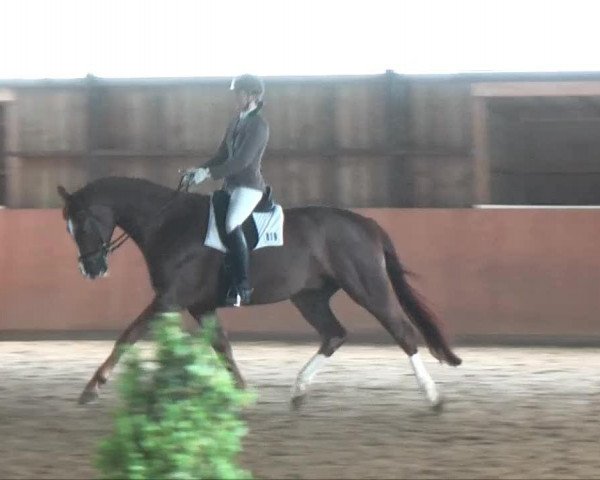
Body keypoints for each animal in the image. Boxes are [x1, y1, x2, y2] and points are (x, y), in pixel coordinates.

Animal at [58, 176, 462, 408]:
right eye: (69, 228)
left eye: (82, 224)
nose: (91, 270)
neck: (169, 222)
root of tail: (366, 223)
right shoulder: (201, 306)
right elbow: (223, 347)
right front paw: (242, 391)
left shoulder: (170, 300)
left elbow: (127, 336)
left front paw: (92, 388)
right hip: (309, 297)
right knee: (334, 334)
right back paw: (299, 389)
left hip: (367, 288)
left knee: (403, 331)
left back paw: (433, 396)